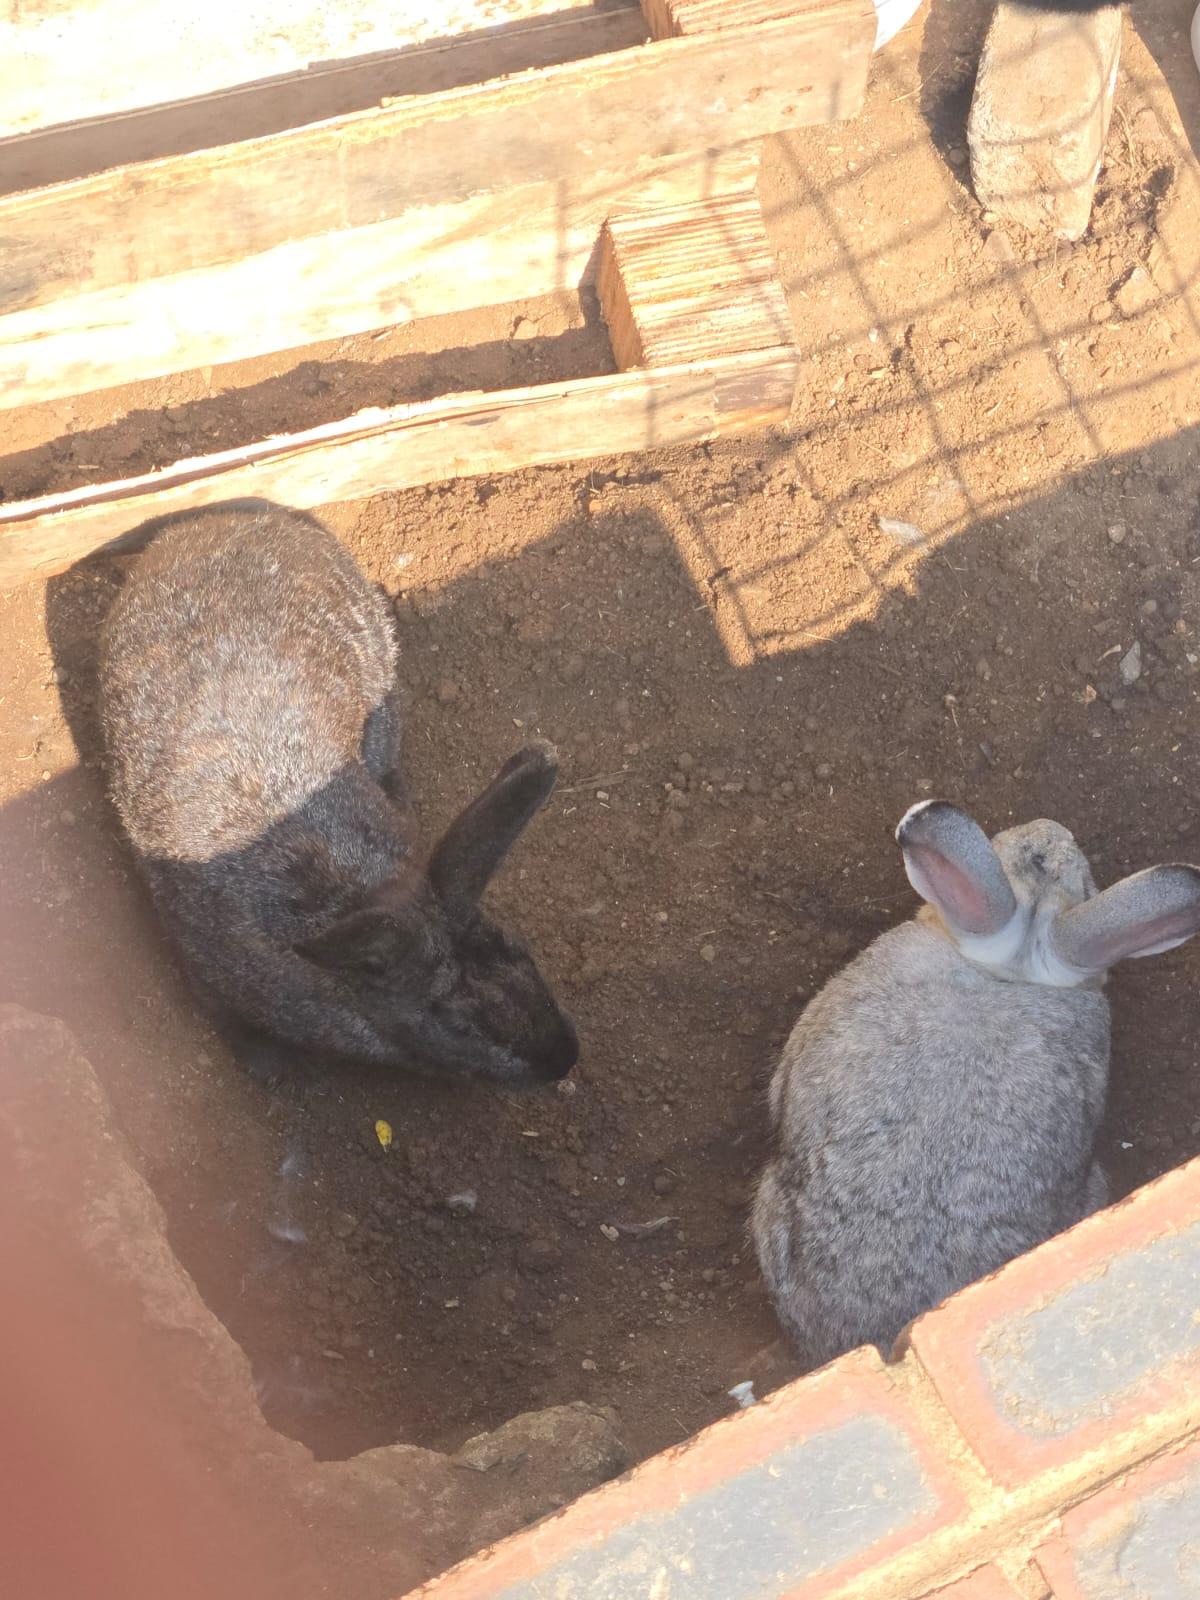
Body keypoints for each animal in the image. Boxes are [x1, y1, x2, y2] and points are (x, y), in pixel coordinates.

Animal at [100, 501, 578, 1087]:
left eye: (521, 948)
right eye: (462, 1024)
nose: (565, 1055)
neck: (360, 891)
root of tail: (240, 515)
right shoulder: (203, 970)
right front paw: (268, 1067)